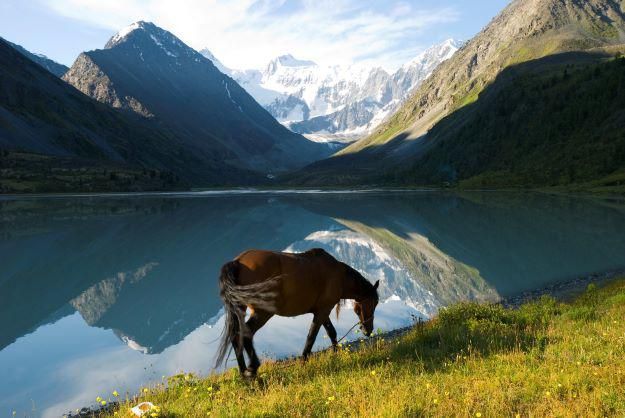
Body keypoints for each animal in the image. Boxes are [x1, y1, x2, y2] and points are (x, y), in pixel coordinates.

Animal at [214, 247, 380, 378]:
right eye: (374, 303)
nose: (368, 330)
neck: (339, 276)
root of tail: (237, 262)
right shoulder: (323, 311)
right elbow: (312, 336)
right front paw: (304, 362)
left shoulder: (322, 311)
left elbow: (331, 332)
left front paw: (336, 355)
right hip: (263, 312)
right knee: (246, 333)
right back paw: (252, 369)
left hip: (241, 309)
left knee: (235, 336)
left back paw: (243, 373)